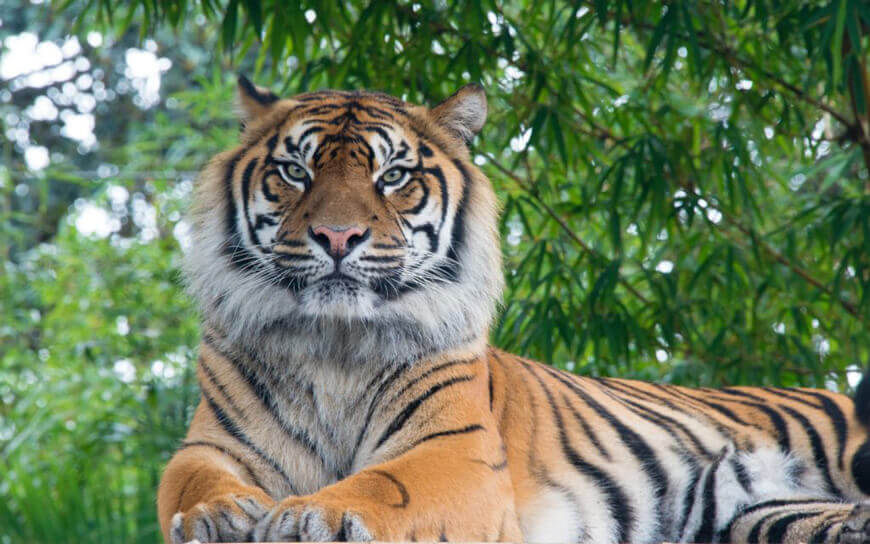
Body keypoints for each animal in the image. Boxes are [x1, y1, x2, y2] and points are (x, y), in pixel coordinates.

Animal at [160, 76, 870, 544]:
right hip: (764, 517)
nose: (338, 237)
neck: (334, 343)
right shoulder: (209, 445)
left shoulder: (455, 452)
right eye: (295, 171)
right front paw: (218, 517)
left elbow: (384, 483)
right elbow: (190, 484)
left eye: (393, 176)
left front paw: (316, 515)